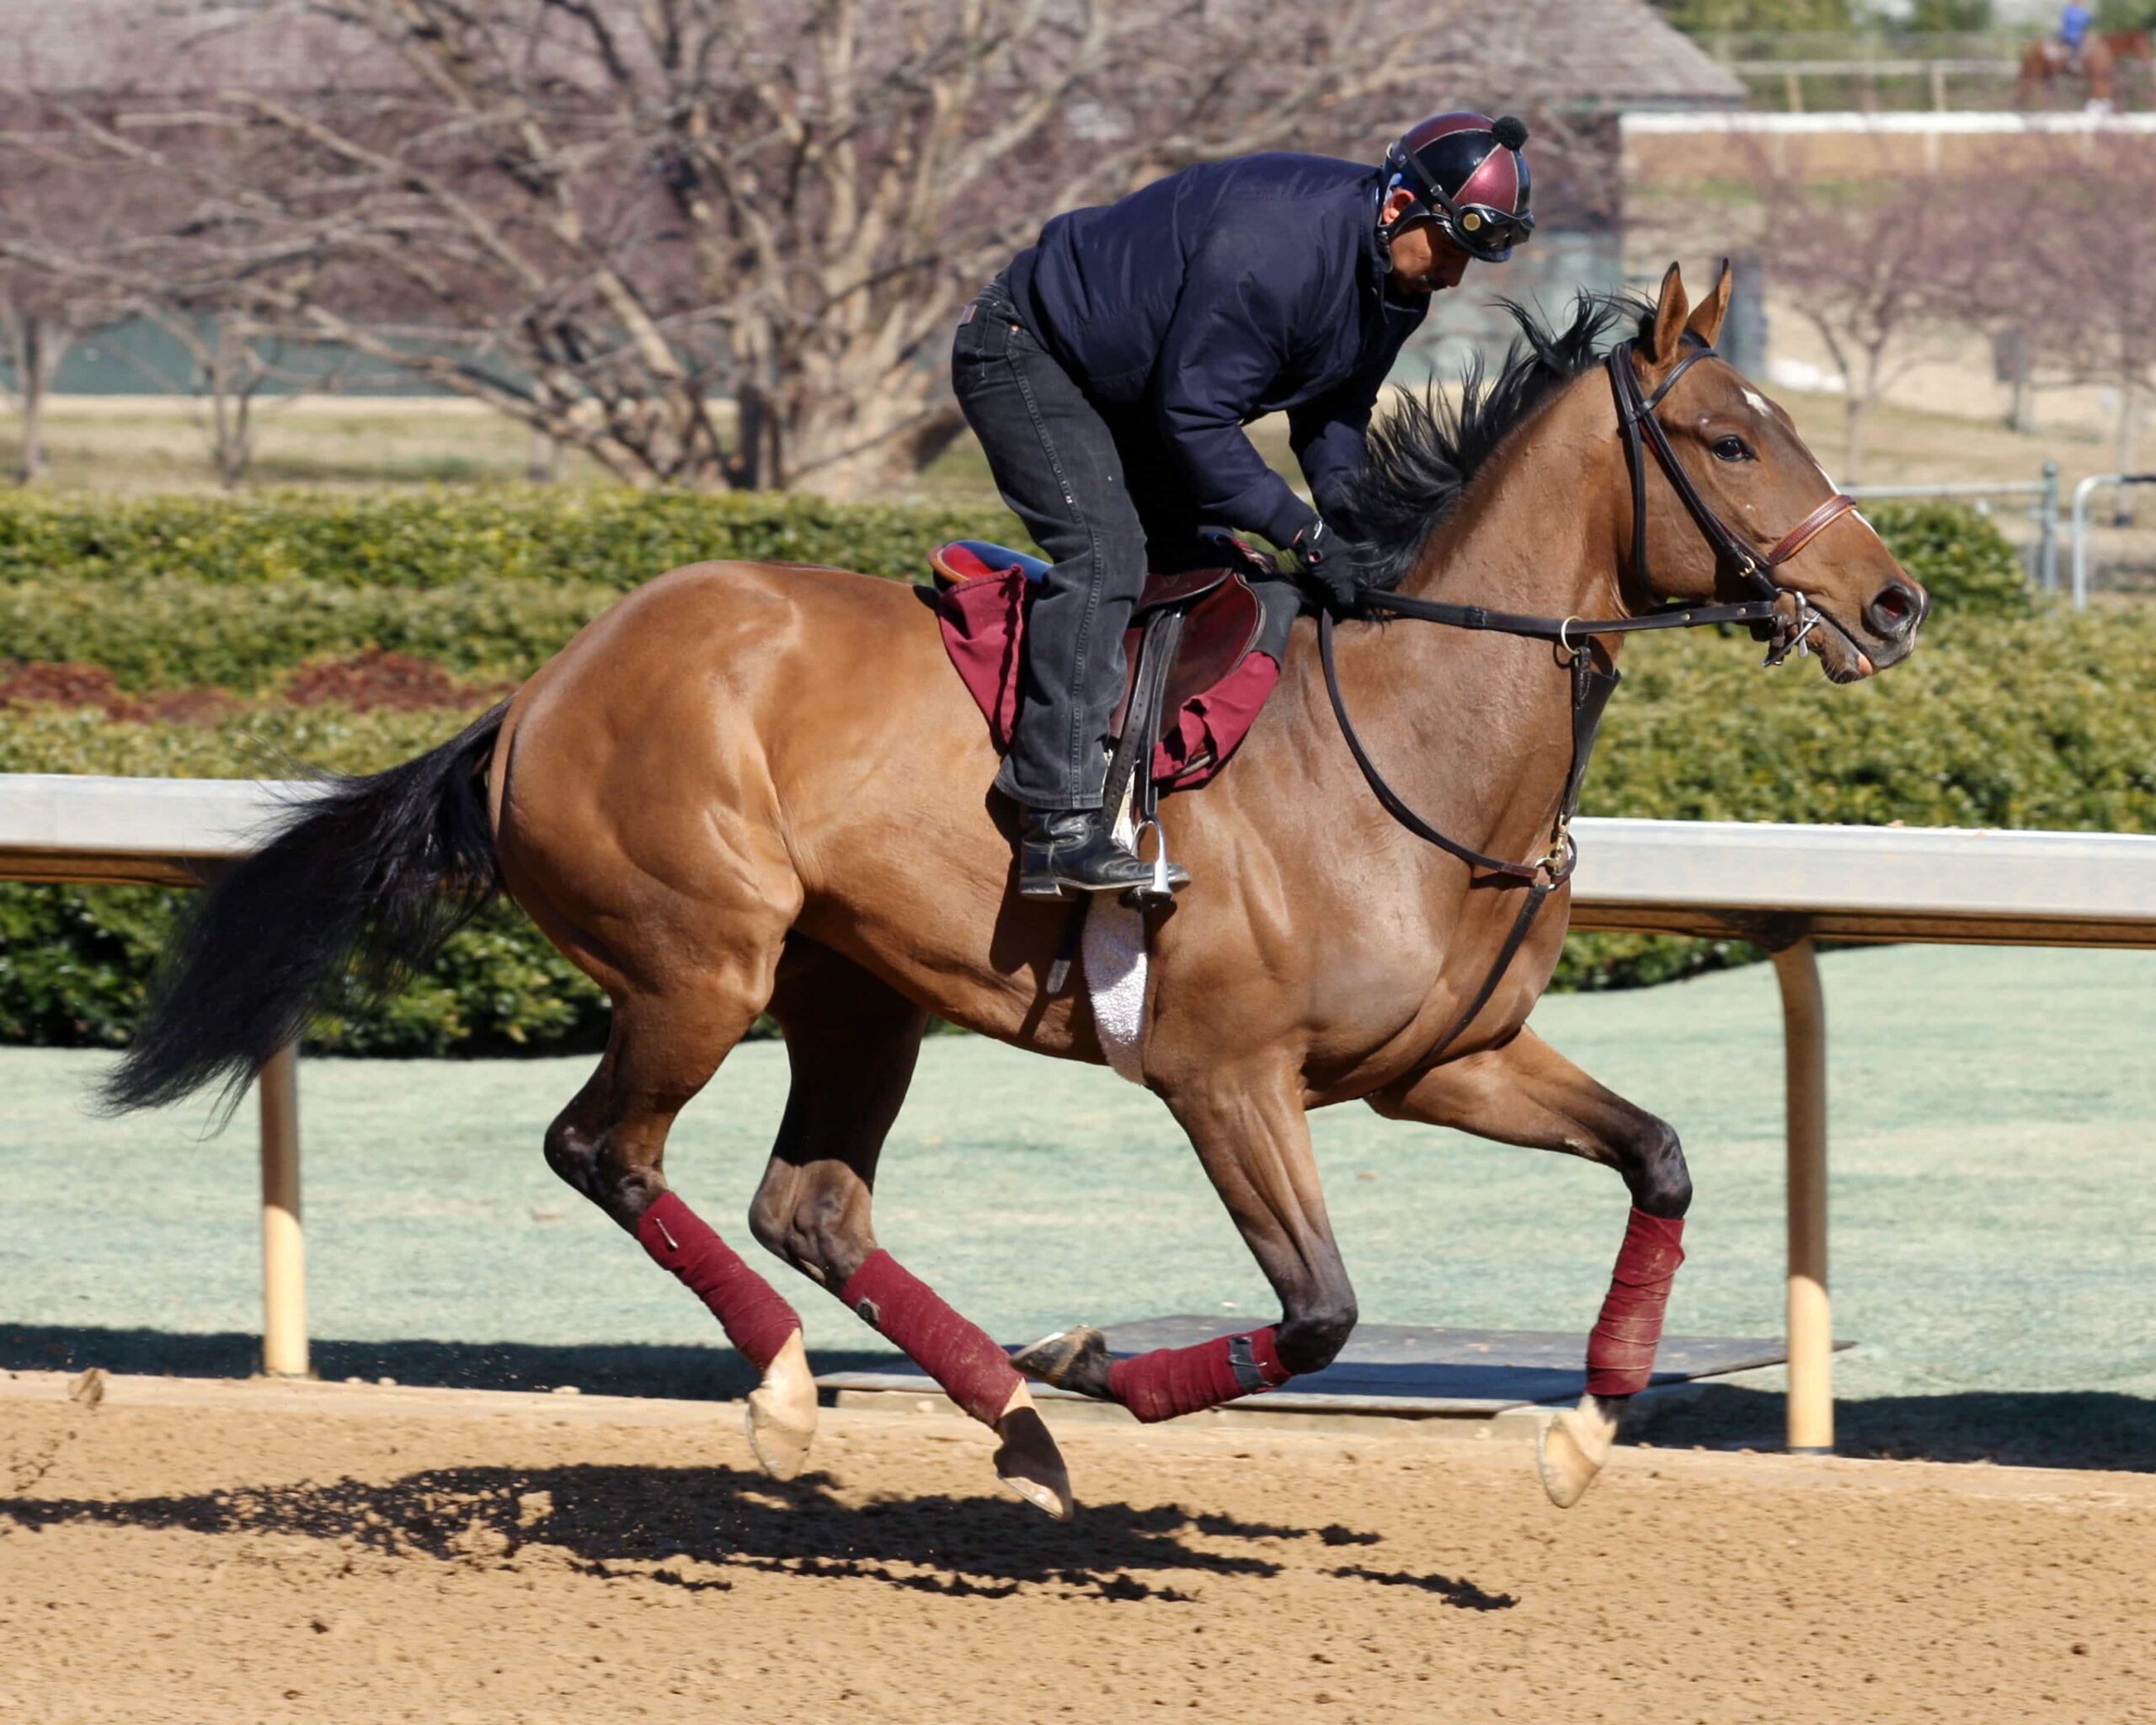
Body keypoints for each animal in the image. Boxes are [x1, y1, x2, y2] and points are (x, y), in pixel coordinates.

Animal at [102, 263, 1926, 1521]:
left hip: (855, 993)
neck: (1410, 729)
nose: (1894, 600)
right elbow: (1321, 1312)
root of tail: (539, 690)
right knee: (602, 1150)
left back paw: (1019, 1426)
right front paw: (1097, 1355)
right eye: (1726, 438)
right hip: (701, 963)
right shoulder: (1223, 1073)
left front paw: (1579, 1431)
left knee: (809, 1206)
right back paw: (805, 1393)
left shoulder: (1439, 1062)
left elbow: (1659, 1158)